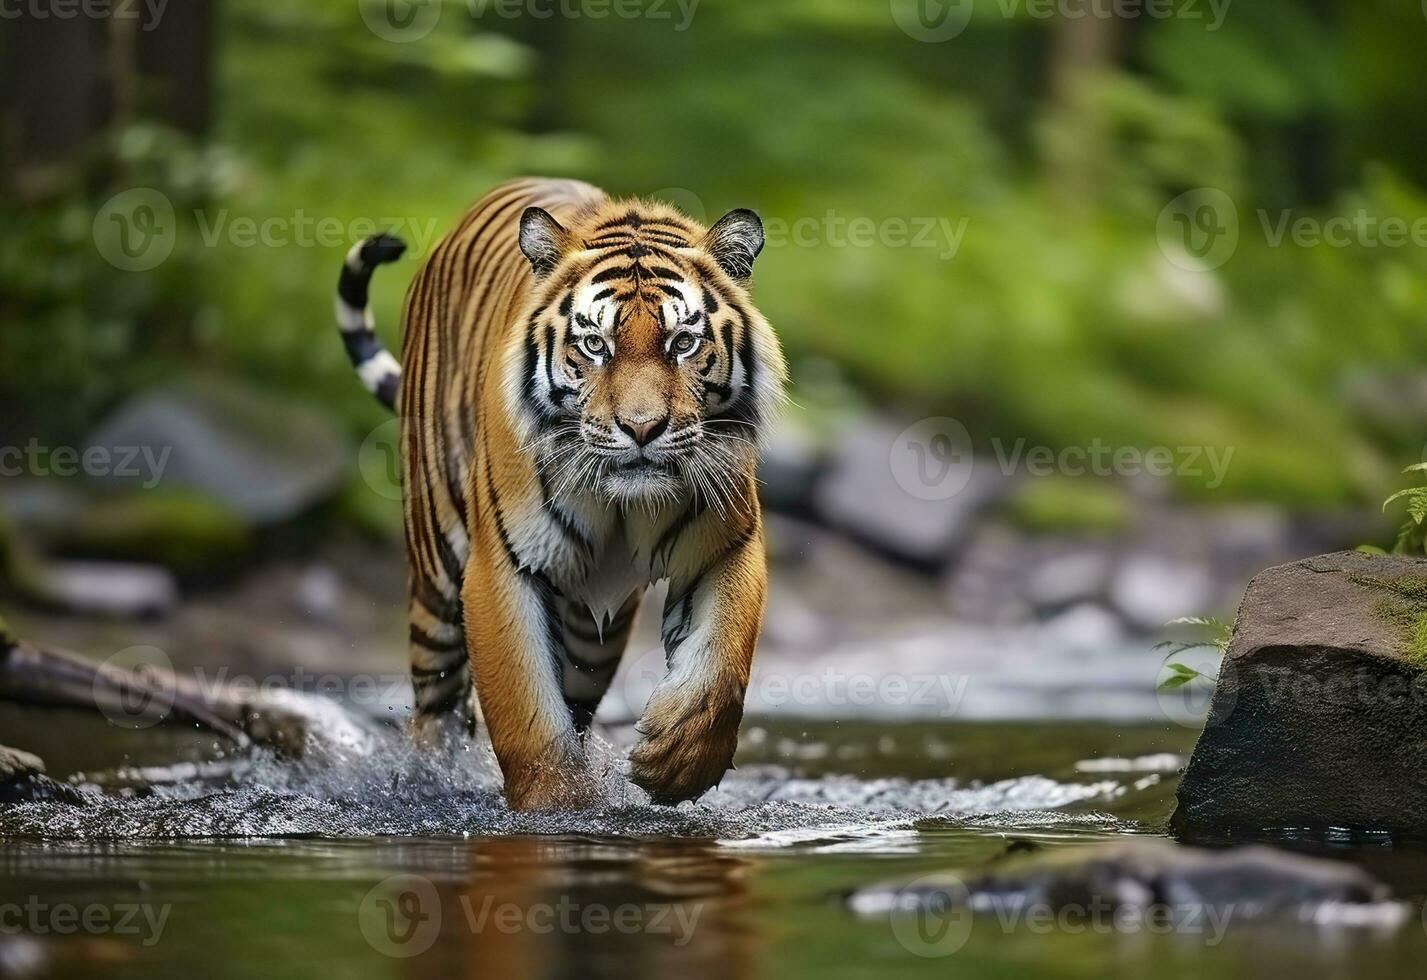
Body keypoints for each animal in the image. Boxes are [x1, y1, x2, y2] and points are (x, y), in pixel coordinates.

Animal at [332, 178, 787, 810]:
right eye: (595, 344)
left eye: (683, 342)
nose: (641, 429)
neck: (623, 506)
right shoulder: (502, 568)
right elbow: (525, 711)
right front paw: (556, 808)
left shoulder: (726, 546)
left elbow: (721, 664)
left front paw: (675, 760)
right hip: (436, 576)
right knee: (436, 711)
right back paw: (428, 781)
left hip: (596, 634)